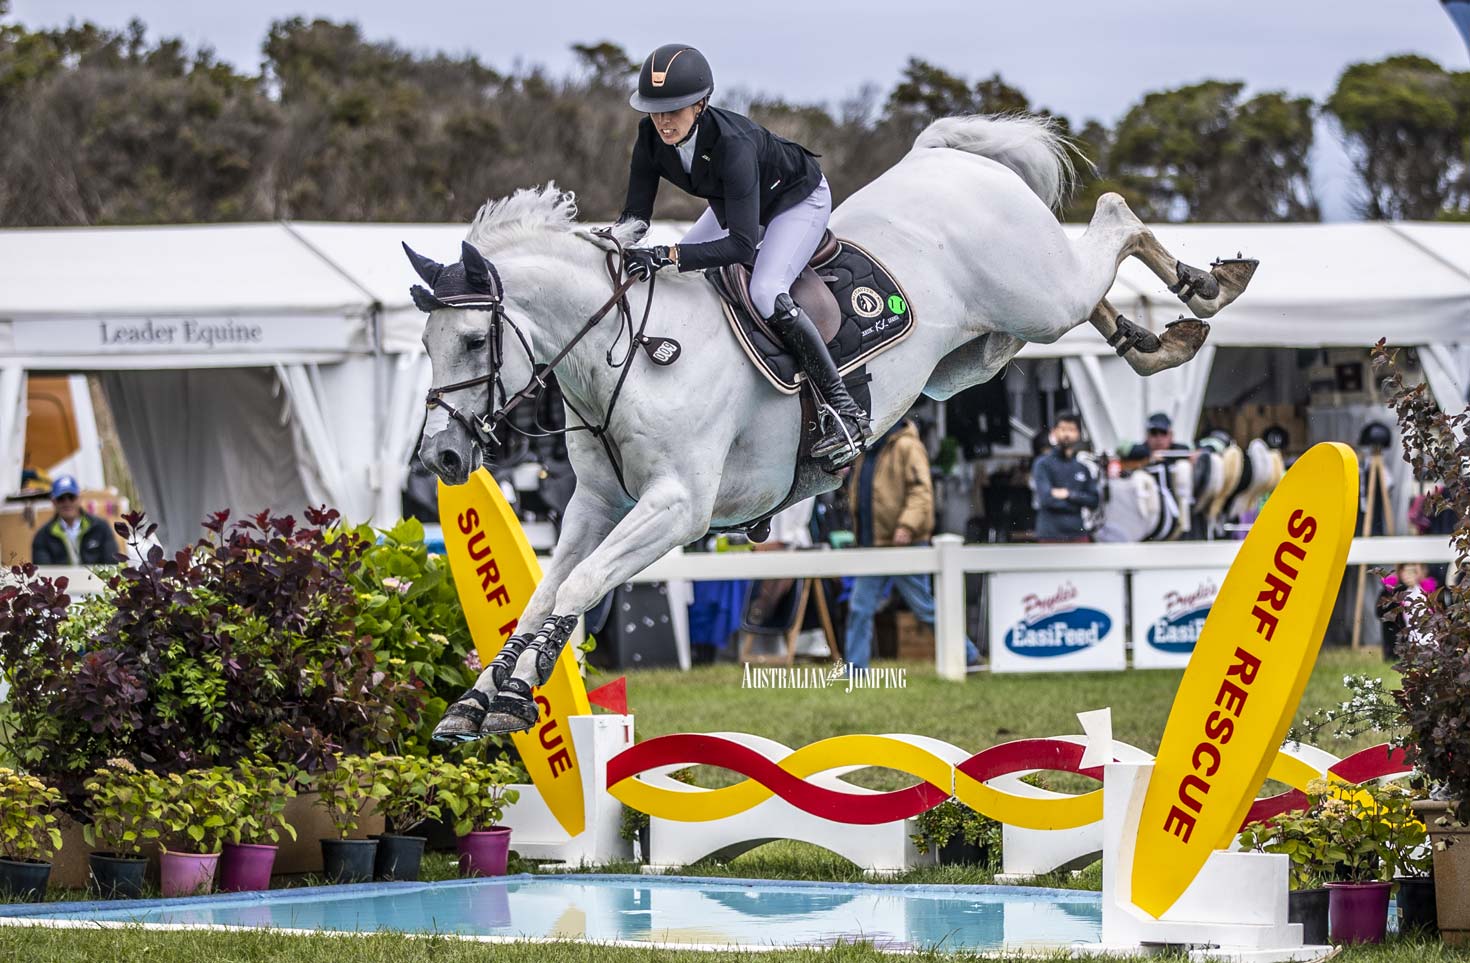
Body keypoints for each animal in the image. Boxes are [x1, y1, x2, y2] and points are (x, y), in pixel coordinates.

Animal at [414, 111, 1252, 738]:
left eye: (470, 340)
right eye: (424, 343)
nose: (445, 458)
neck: (632, 348)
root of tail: (942, 156)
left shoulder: (678, 507)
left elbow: (581, 583)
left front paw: (509, 699)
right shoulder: (597, 506)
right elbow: (546, 591)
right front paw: (479, 703)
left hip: (1038, 296)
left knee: (1112, 222)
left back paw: (1208, 285)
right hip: (984, 347)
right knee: (1084, 300)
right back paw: (1155, 339)